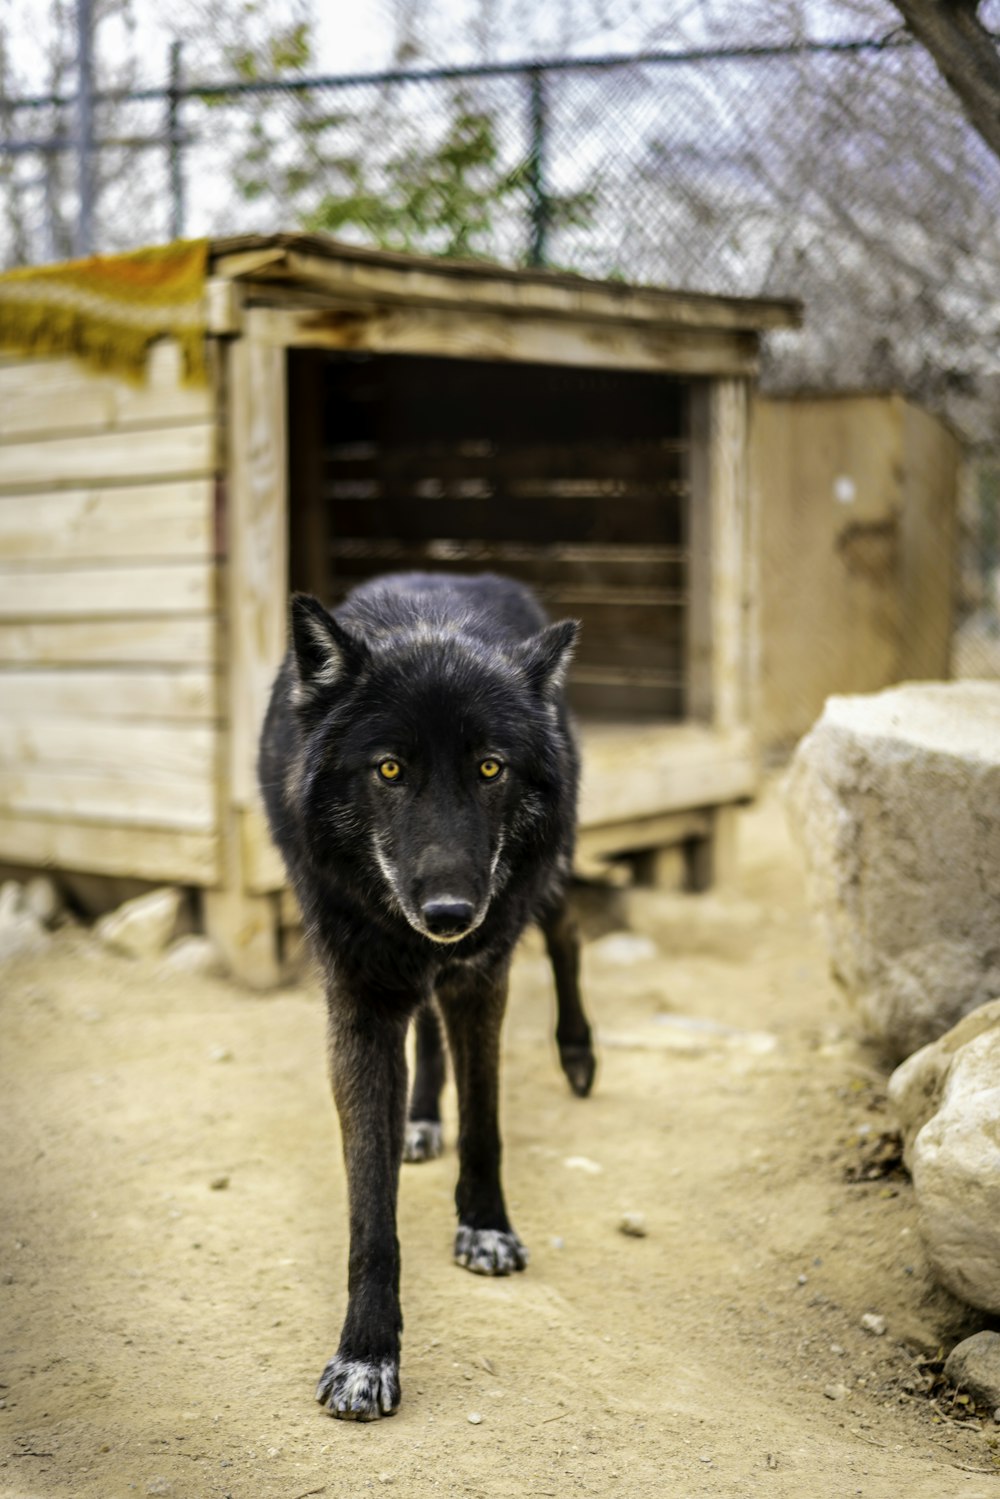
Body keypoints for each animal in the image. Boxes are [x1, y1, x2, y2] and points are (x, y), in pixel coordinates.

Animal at [262, 569, 599, 1415]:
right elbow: (369, 1207)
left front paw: (486, 1226)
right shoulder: (359, 1003)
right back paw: (419, 1118)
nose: (450, 912)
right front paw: (366, 1353)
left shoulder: (482, 974)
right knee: (426, 1026)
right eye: (389, 769)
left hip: (542, 880)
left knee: (569, 931)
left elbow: (485, 1121)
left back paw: (579, 1054)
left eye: (490, 767)